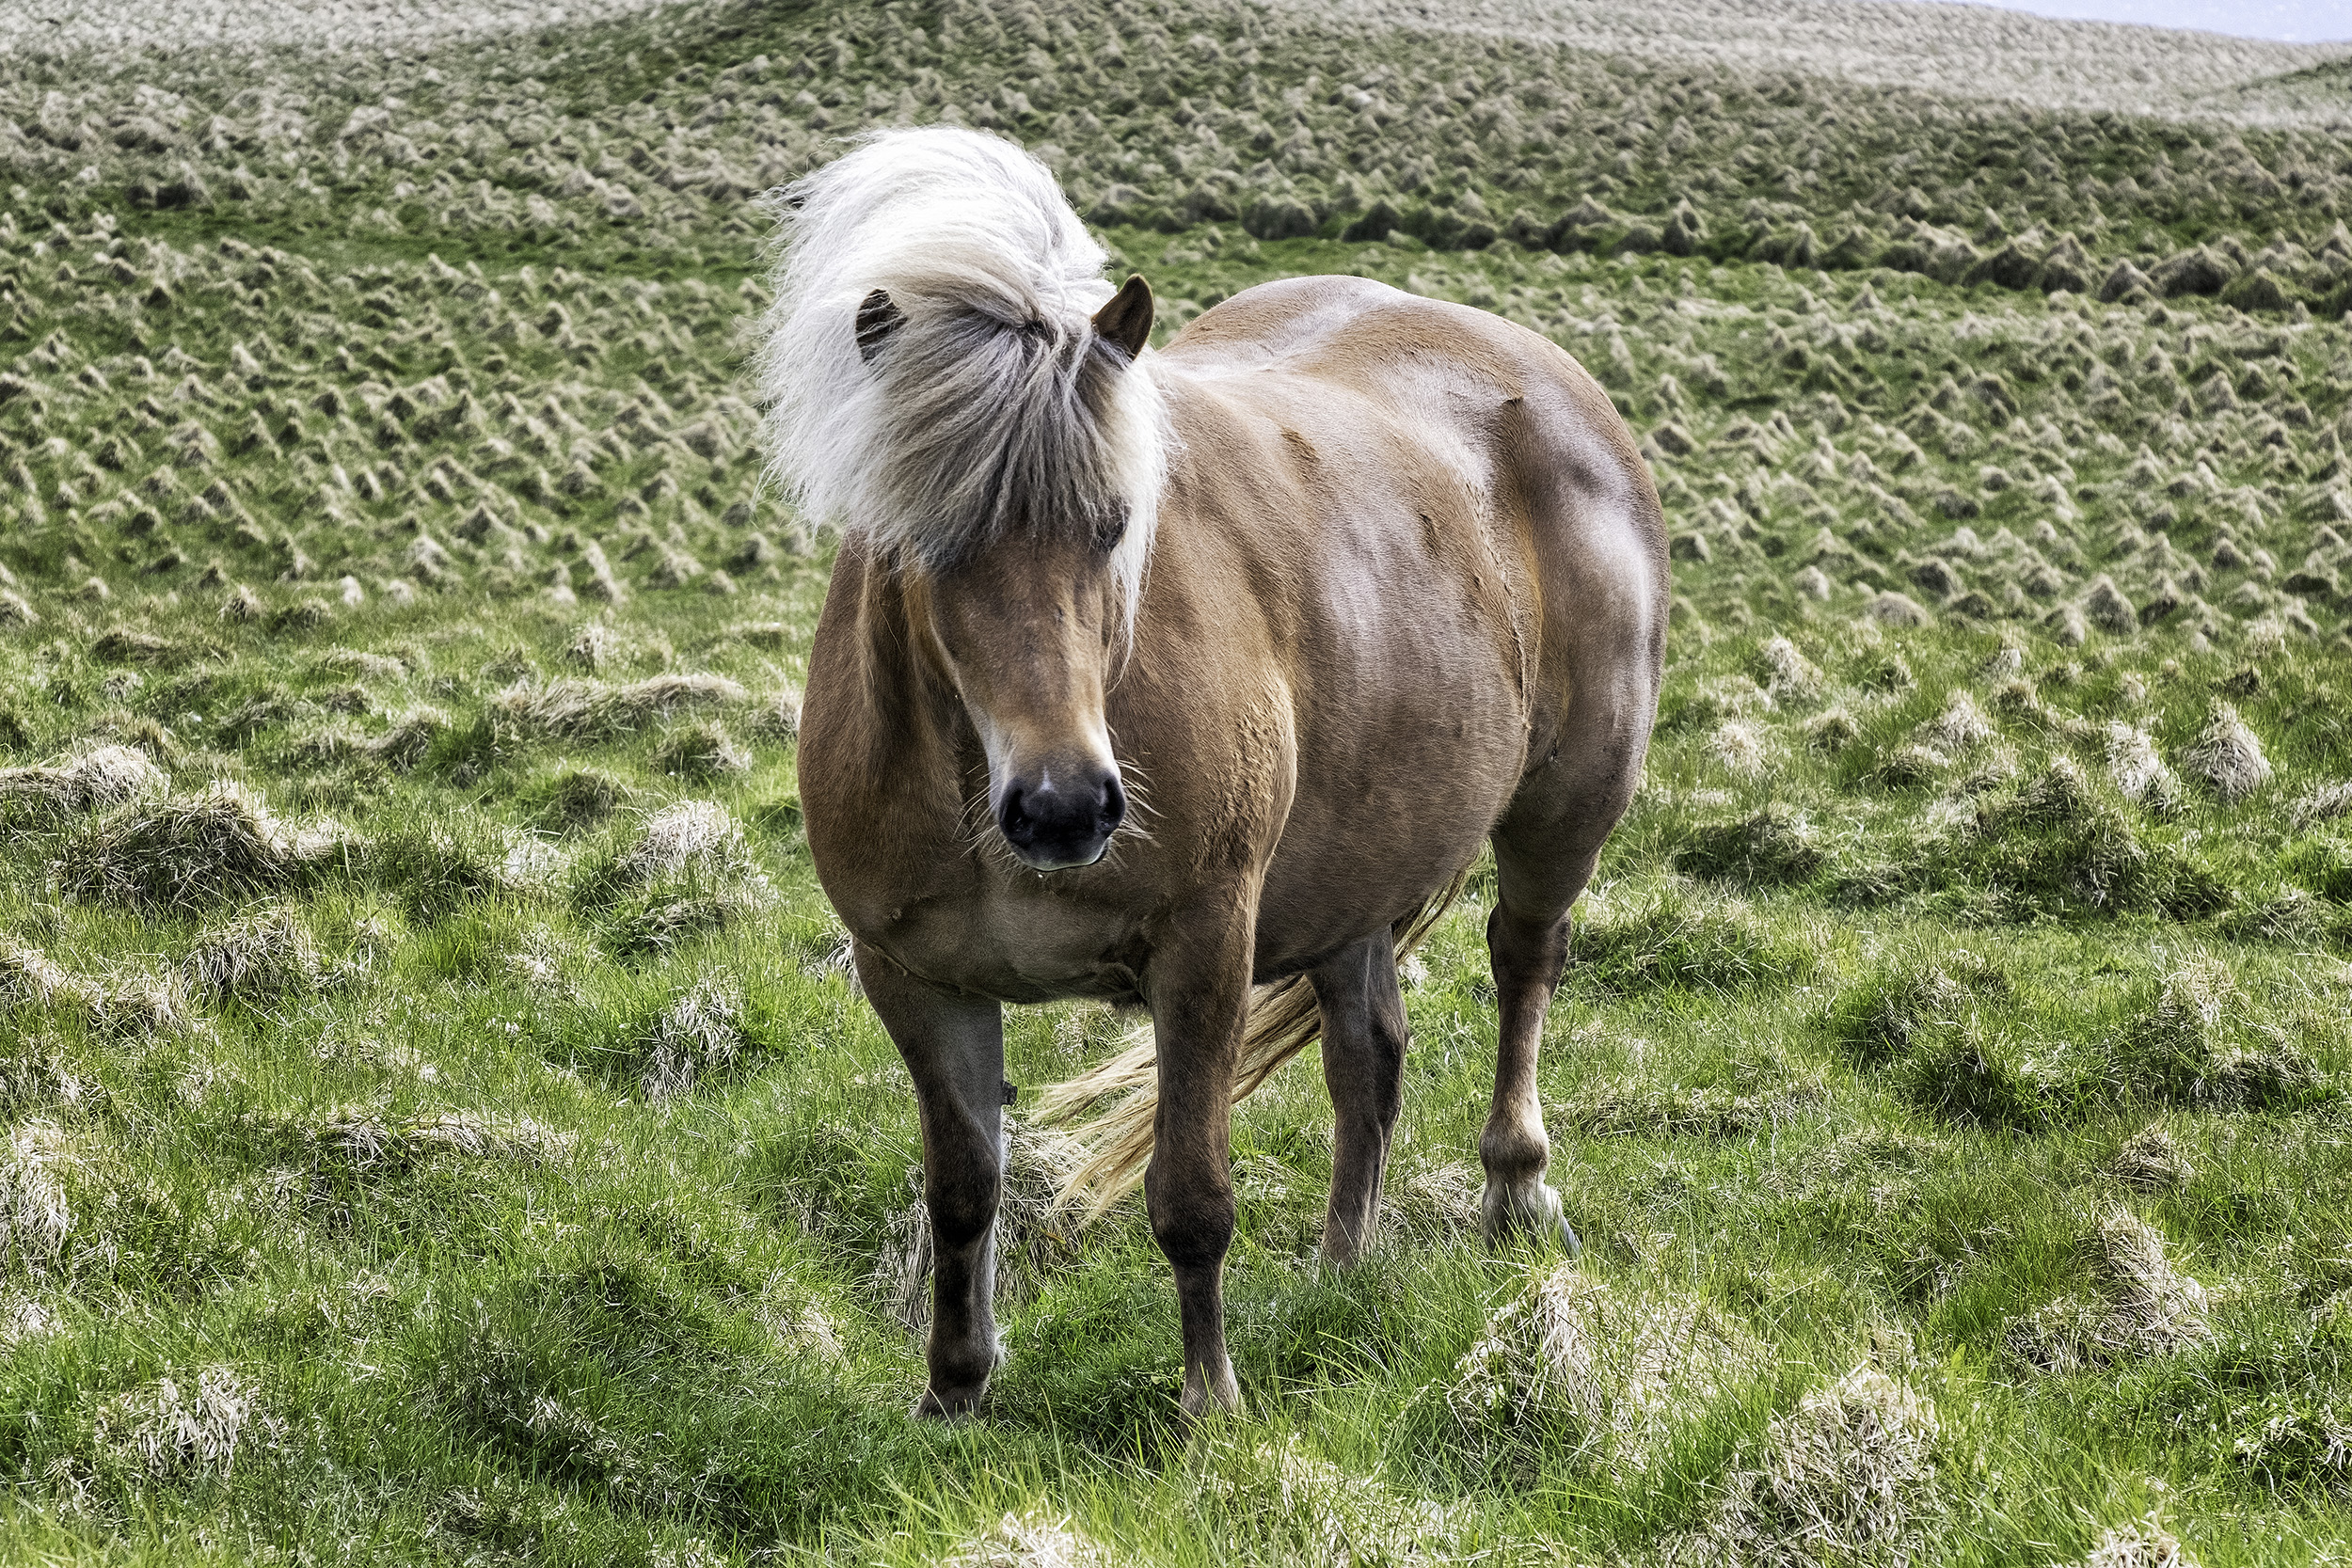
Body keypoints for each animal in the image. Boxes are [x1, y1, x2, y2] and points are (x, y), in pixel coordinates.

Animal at [762, 128, 1665, 1419]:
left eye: (1114, 523)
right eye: (927, 543)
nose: (1063, 807)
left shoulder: (1202, 952)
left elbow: (1190, 1197)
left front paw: (1209, 1407)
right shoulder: (916, 981)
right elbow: (961, 1193)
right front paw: (954, 1387)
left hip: (1561, 816)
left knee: (1523, 964)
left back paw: (1513, 1188)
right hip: (1357, 866)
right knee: (1367, 1056)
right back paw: (1344, 1265)